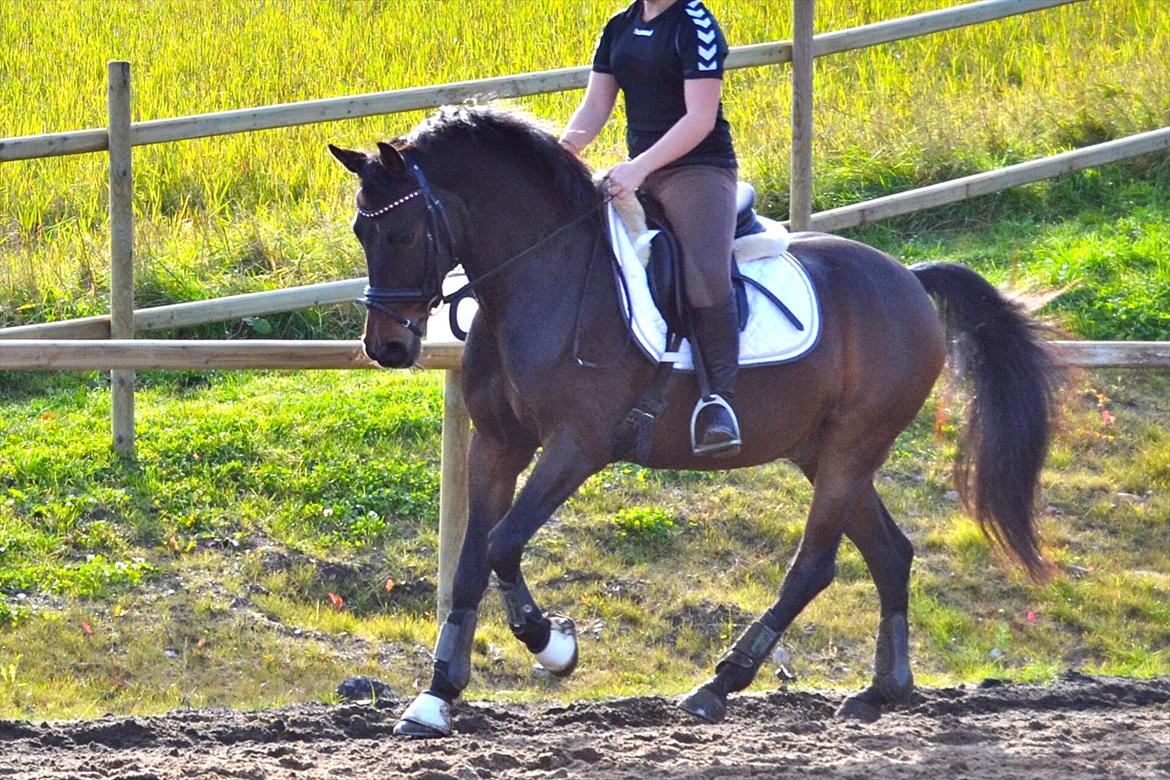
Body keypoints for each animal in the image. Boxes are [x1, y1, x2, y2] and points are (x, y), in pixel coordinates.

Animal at [327, 108, 1053, 739]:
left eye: (401, 233)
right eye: (362, 233)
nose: (385, 347)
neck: (540, 279)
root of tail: (907, 276)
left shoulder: (579, 445)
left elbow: (504, 542)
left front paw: (554, 647)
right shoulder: (497, 444)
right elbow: (474, 559)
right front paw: (435, 697)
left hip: (853, 444)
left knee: (814, 565)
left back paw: (719, 686)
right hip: (822, 451)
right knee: (890, 553)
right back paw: (881, 691)